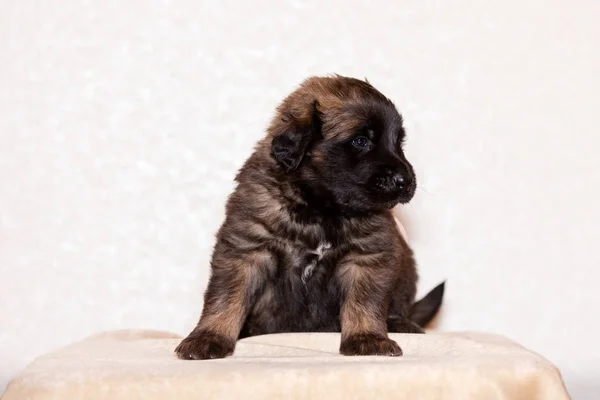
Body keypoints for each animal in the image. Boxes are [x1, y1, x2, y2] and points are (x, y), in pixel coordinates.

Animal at [176, 74, 442, 360]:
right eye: (361, 141)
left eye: (399, 142)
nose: (406, 181)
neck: (319, 209)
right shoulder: (246, 250)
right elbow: (225, 298)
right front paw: (208, 337)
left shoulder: (366, 256)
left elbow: (364, 302)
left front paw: (367, 338)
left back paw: (400, 323)